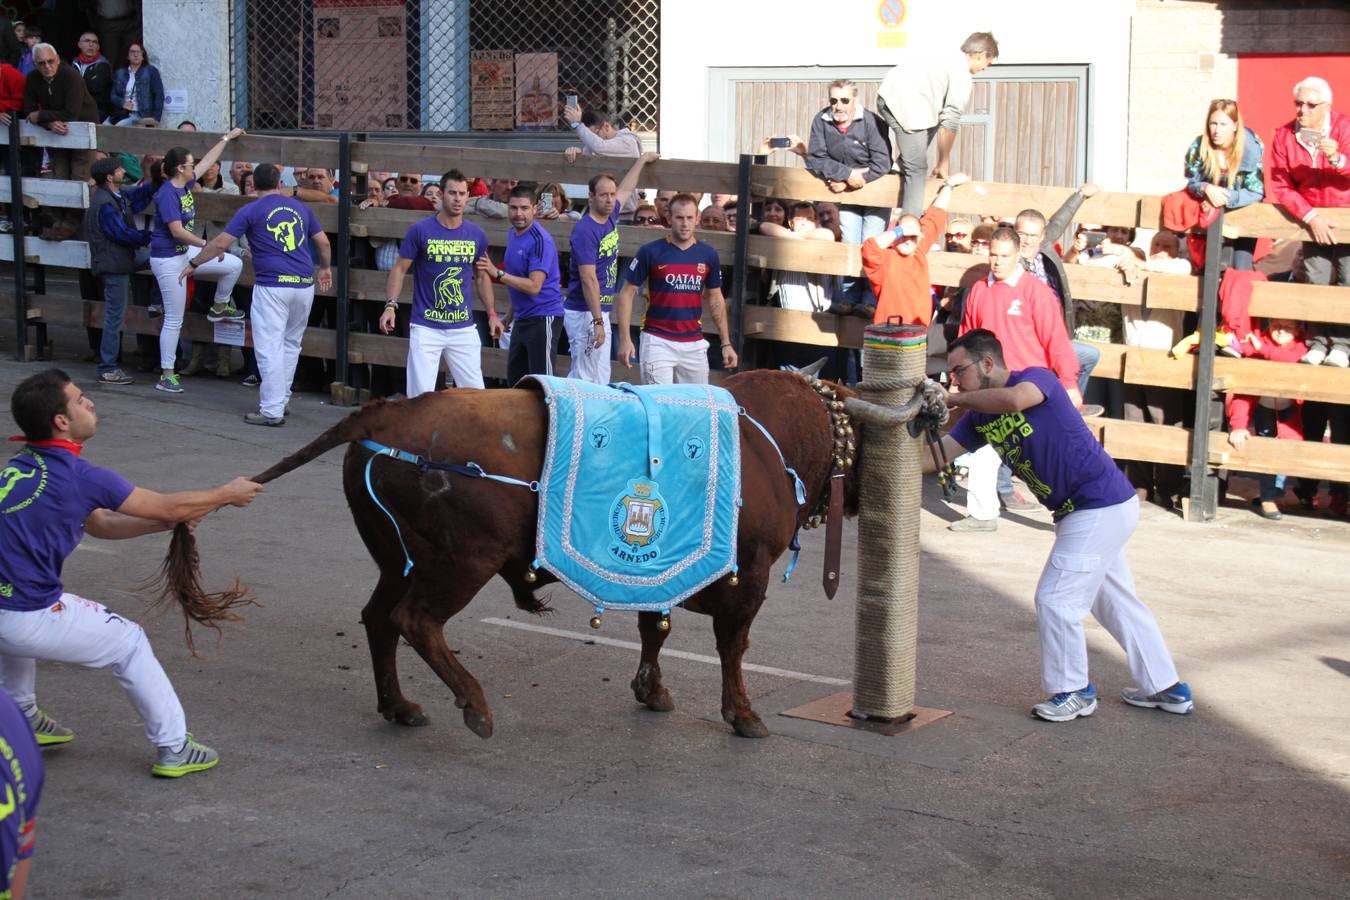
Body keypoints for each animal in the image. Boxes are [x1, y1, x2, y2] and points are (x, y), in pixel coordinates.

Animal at [160, 367, 885, 739]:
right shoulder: (748, 578)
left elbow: (656, 626)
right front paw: (743, 714)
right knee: (416, 622)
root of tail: (387, 412)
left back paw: (401, 706)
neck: (766, 436)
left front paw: (652, 690)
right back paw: (475, 707)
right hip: (461, 564)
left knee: (378, 620)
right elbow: (732, 648)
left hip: (398, 561)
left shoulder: (667, 572)